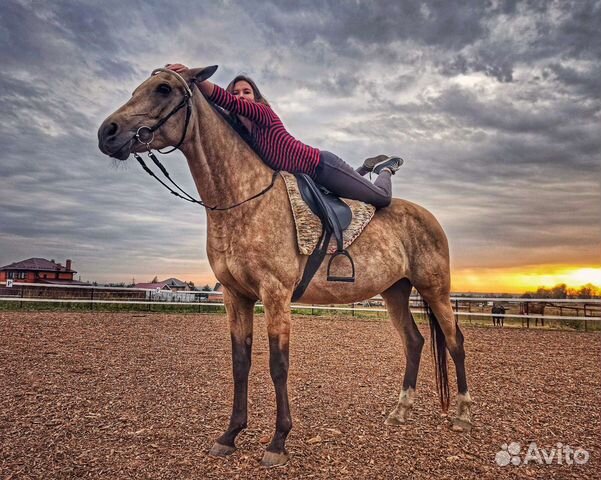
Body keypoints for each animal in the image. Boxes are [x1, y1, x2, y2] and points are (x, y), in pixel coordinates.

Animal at [97, 66, 474, 464]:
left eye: (164, 88)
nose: (107, 132)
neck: (244, 200)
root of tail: (427, 217)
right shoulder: (235, 296)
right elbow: (240, 363)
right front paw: (230, 435)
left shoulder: (275, 294)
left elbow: (278, 366)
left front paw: (278, 441)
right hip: (395, 291)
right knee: (414, 342)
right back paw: (401, 411)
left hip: (435, 289)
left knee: (455, 341)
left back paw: (463, 415)